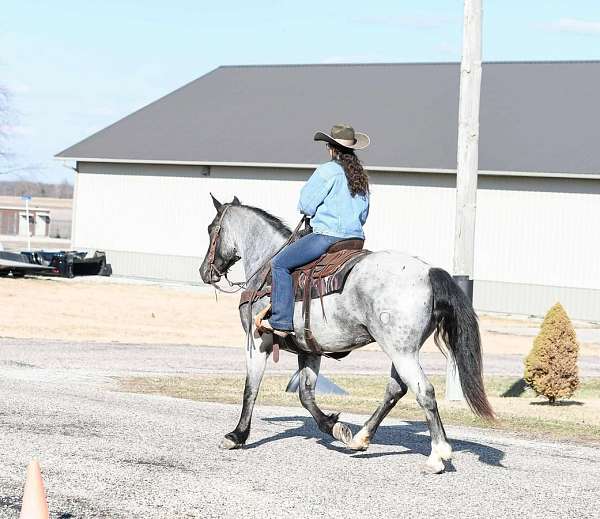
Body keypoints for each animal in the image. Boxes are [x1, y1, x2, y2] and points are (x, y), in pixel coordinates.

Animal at [199, 195, 494, 476]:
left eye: (211, 229)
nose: (204, 272)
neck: (267, 264)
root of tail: (428, 272)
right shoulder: (310, 350)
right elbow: (306, 395)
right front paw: (334, 426)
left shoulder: (258, 341)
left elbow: (250, 389)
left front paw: (236, 436)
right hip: (403, 350)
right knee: (395, 390)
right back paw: (360, 438)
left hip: (402, 352)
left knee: (424, 392)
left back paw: (437, 457)